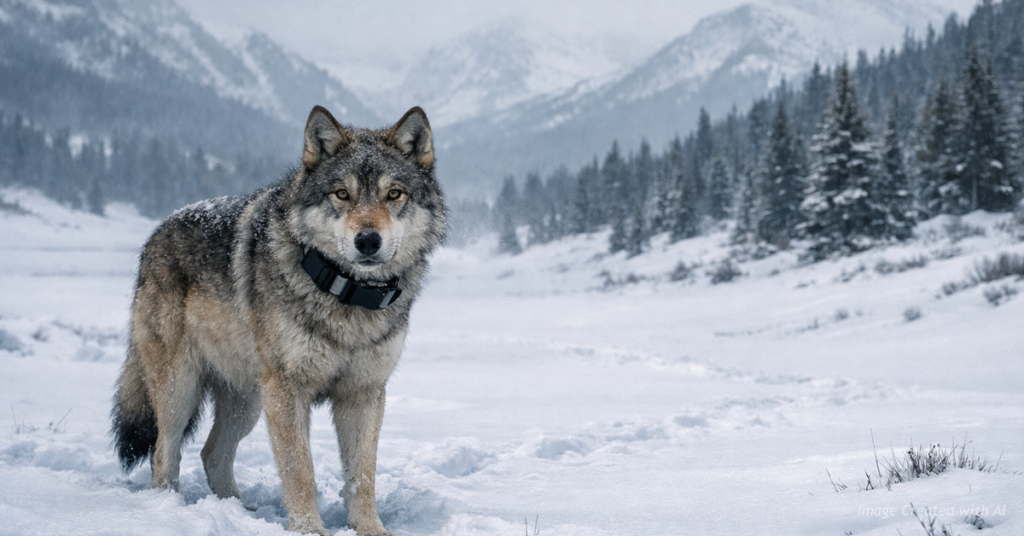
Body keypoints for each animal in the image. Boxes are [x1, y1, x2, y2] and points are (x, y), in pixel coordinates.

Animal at [111, 105, 446, 536]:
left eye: (394, 194)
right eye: (342, 194)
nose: (368, 241)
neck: (346, 293)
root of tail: (157, 231)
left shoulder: (364, 393)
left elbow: (362, 475)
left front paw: (370, 529)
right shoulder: (288, 391)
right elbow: (299, 469)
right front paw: (309, 529)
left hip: (248, 402)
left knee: (211, 453)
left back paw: (236, 511)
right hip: (181, 391)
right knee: (163, 453)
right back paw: (168, 511)